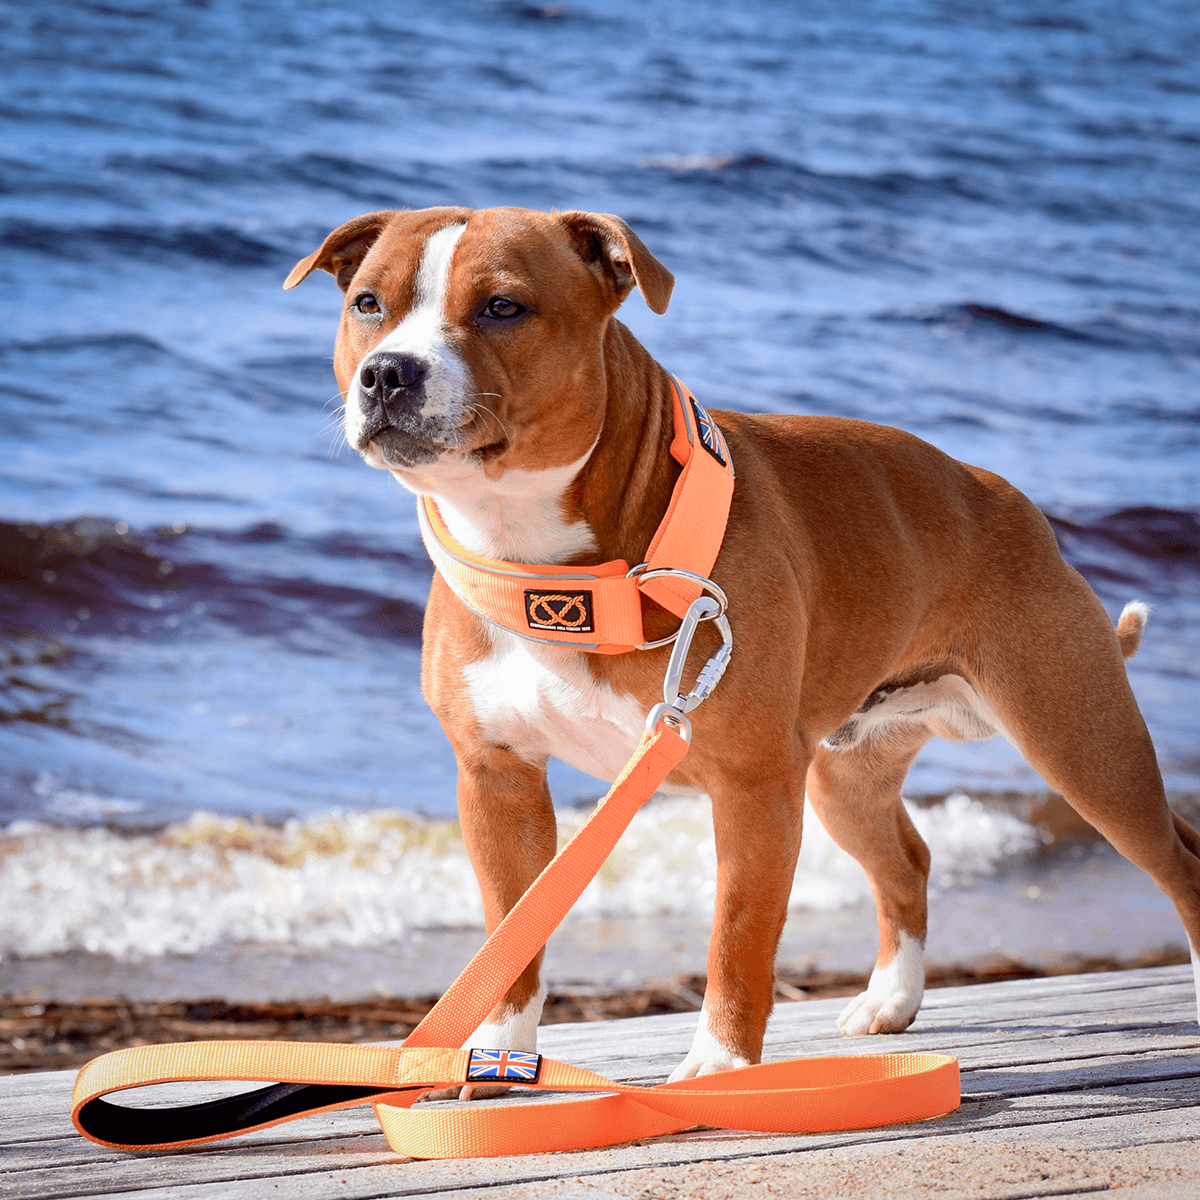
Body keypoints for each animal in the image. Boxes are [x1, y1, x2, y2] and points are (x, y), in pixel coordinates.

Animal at [288, 206, 1200, 1089]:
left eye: (503, 307)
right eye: (368, 304)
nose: (388, 373)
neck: (543, 564)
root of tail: (1008, 499)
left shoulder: (754, 786)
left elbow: (738, 932)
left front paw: (721, 1067)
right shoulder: (497, 778)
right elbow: (513, 932)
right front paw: (496, 1063)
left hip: (1082, 744)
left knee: (1175, 853)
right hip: (845, 775)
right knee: (906, 861)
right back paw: (891, 1001)